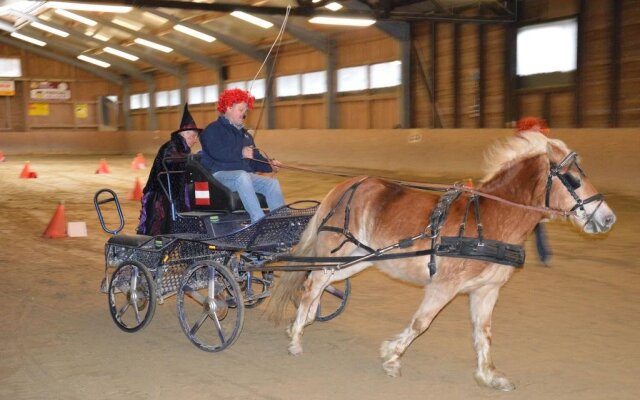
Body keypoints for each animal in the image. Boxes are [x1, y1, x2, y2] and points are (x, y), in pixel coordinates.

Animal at [268, 131, 616, 390]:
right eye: (572, 178)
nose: (608, 218)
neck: (490, 221)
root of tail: (347, 185)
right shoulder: (443, 286)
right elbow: (421, 323)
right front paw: (392, 356)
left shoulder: (487, 290)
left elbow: (484, 332)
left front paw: (489, 376)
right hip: (337, 252)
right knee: (312, 283)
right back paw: (297, 337)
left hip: (357, 259)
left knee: (319, 282)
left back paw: (303, 321)